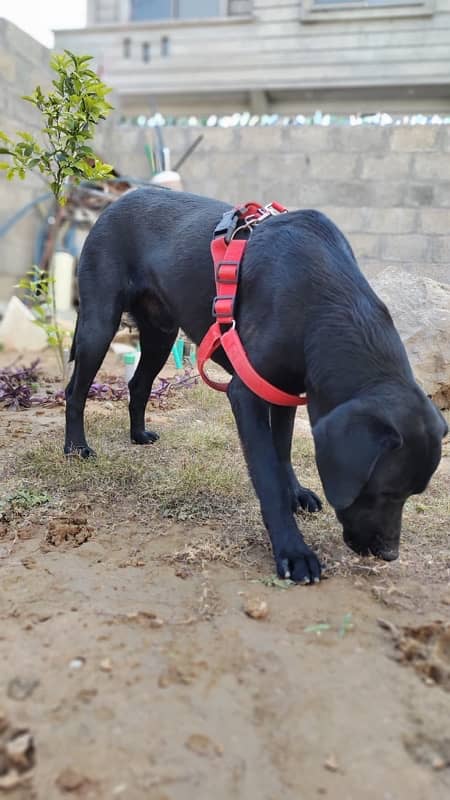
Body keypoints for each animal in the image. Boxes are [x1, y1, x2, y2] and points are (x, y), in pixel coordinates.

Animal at [65, 191, 448, 584]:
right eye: (384, 491)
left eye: (413, 493)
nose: (389, 554)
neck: (321, 301)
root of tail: (119, 199)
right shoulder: (246, 394)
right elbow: (267, 474)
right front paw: (293, 551)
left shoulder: (284, 391)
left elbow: (282, 452)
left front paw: (296, 494)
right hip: (99, 323)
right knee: (75, 391)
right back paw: (76, 447)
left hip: (161, 332)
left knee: (139, 385)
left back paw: (138, 433)